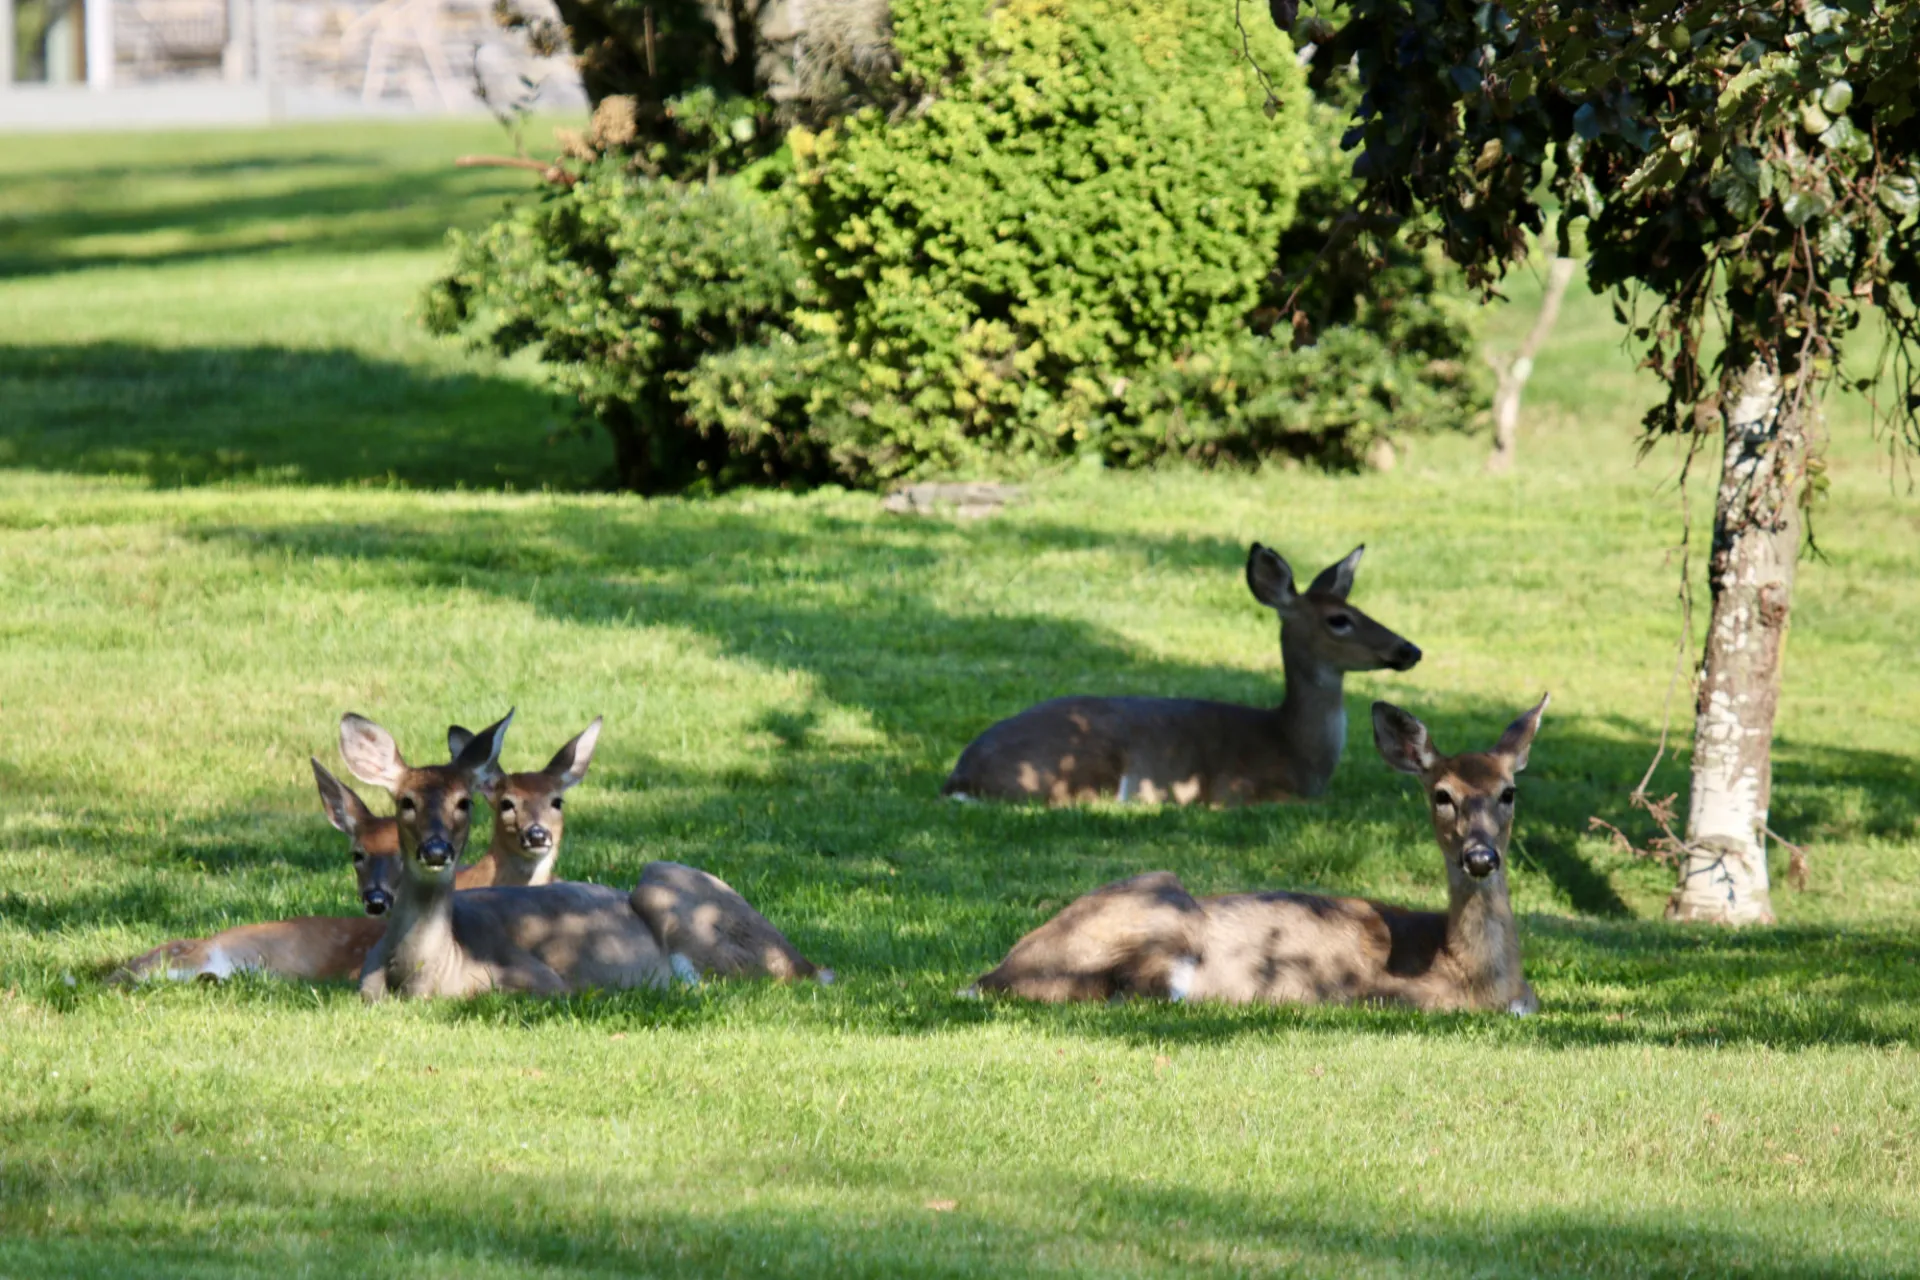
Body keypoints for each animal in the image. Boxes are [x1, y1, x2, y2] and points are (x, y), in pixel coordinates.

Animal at [344, 711, 827, 1001]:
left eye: (464, 802)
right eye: (405, 801)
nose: (436, 849)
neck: (423, 976)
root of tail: (806, 962)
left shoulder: (541, 980)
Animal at [941, 543, 1423, 806]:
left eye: (1359, 609)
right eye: (1339, 620)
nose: (1410, 649)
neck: (1295, 749)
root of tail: (960, 777)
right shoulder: (1239, 789)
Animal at [968, 696, 1548, 1015]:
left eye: (1508, 791)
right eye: (1441, 794)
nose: (1480, 857)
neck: (1477, 977)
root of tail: (991, 976)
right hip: (1161, 909)